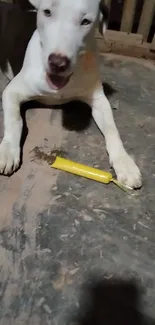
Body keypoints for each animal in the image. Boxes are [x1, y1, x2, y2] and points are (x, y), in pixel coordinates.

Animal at [0, 0, 142, 189]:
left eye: (85, 21)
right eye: (47, 12)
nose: (58, 63)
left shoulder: (99, 100)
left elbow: (113, 130)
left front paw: (125, 163)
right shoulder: (12, 91)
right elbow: (15, 120)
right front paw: (8, 150)